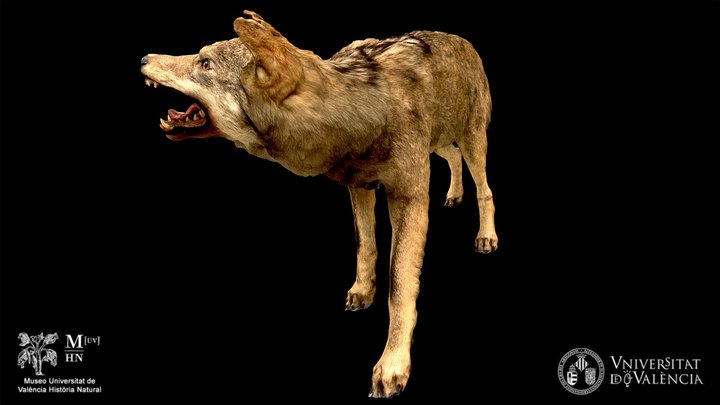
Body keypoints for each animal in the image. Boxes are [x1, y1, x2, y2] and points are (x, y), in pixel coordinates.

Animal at [140, 10, 498, 398]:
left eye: (204, 63)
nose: (143, 58)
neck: (353, 115)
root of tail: (462, 40)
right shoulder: (359, 187)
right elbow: (365, 247)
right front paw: (362, 291)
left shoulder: (410, 197)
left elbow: (400, 286)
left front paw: (393, 365)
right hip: (440, 141)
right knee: (453, 158)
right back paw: (454, 195)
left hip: (472, 141)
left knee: (485, 189)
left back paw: (486, 236)